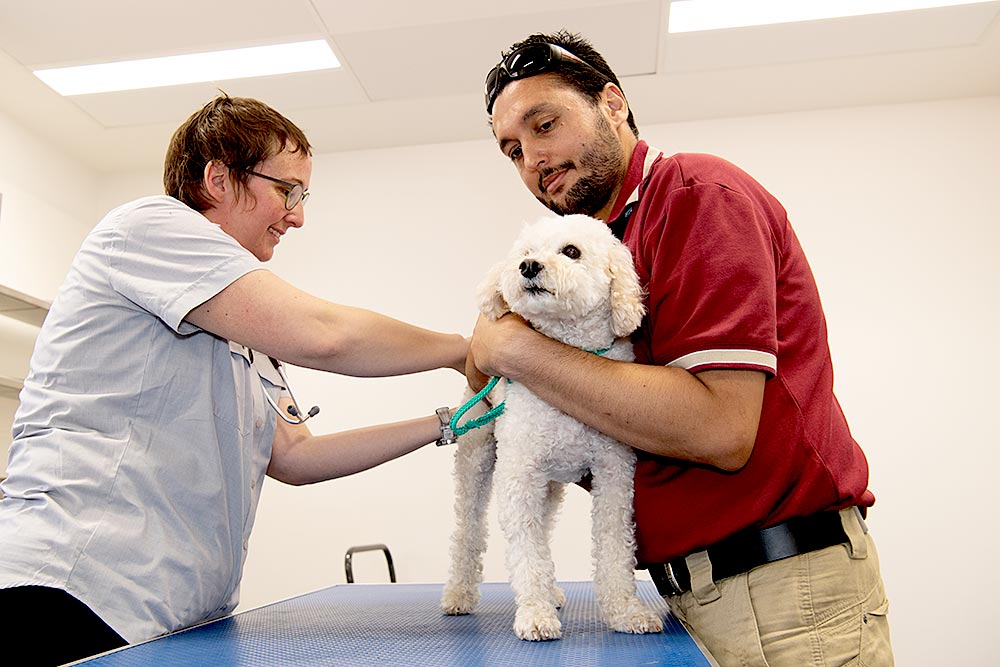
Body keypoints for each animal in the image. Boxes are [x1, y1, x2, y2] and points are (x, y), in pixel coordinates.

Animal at [440, 214, 664, 640]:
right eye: (526, 253)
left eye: (571, 251)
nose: (528, 267)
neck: (567, 353)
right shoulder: (520, 474)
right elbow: (526, 550)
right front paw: (535, 614)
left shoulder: (613, 472)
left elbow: (613, 546)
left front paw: (625, 612)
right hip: (478, 455)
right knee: (467, 530)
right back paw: (458, 593)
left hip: (551, 484)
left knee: (543, 529)